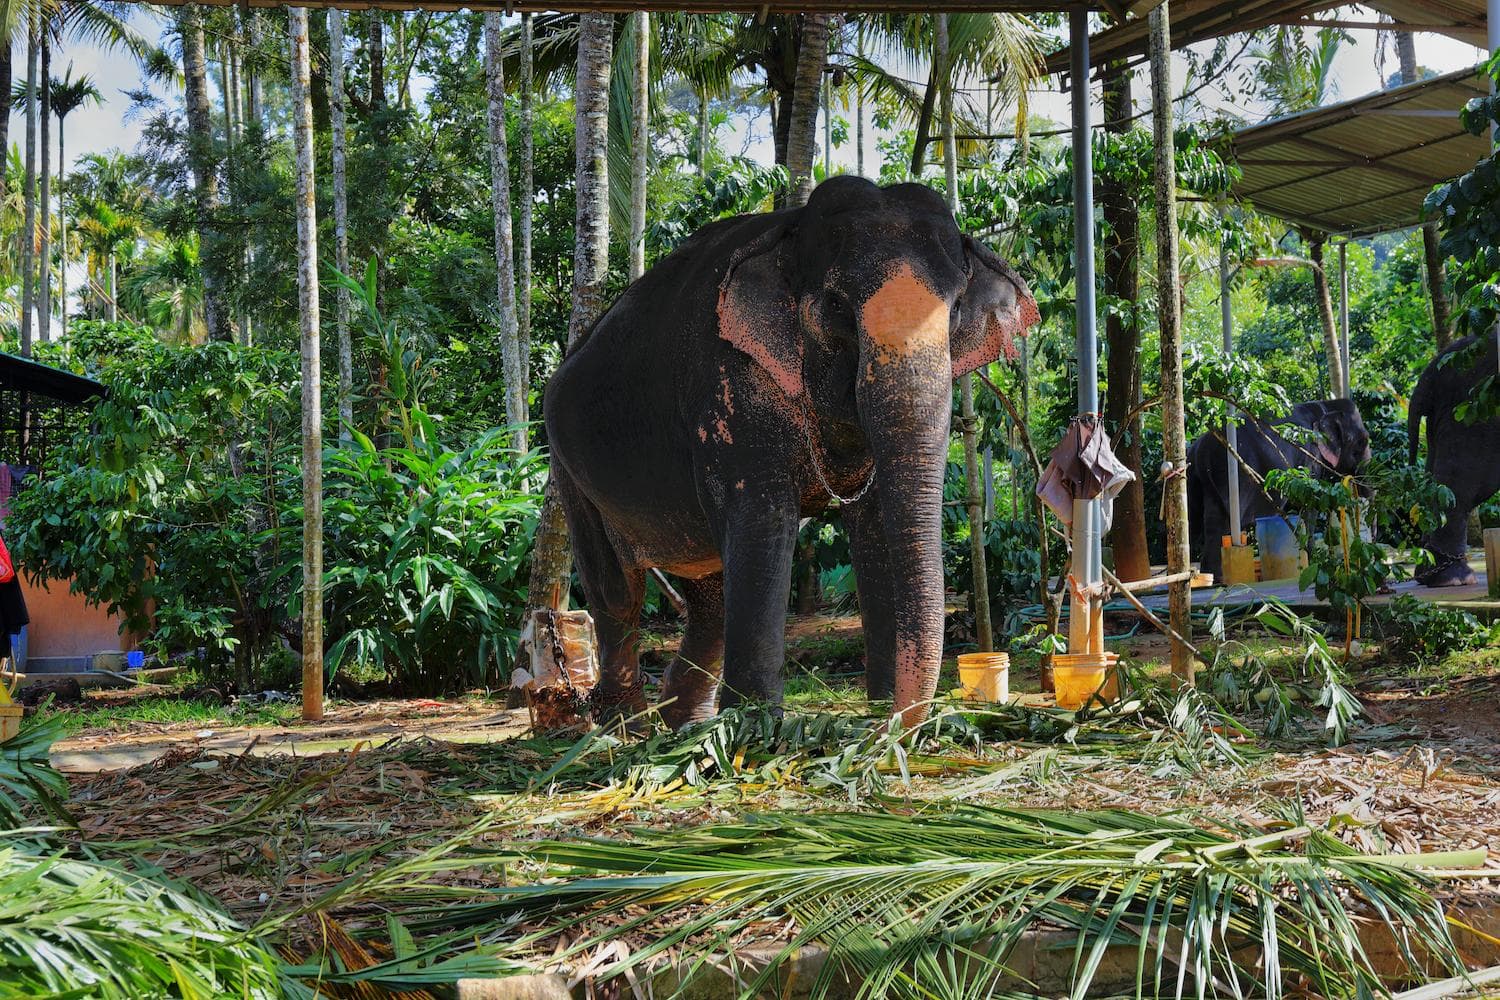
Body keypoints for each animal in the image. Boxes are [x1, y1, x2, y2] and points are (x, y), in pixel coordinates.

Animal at [543, 177, 1039, 730]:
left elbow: (873, 526)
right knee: (617, 592)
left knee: (709, 592)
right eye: (836, 307)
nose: (897, 725)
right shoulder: (726, 383)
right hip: (566, 465)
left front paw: (877, 715)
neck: (790, 229)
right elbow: (763, 519)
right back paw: (623, 725)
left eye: (953, 312)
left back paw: (686, 722)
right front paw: (756, 729)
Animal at [1187, 399, 1371, 580]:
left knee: (1194, 523)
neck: (1324, 405)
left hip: (1195, 477)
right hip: (1229, 476)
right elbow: (1310, 505)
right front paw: (1313, 562)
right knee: (1223, 523)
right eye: (1362, 442)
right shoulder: (1310, 461)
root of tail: (1201, 452)